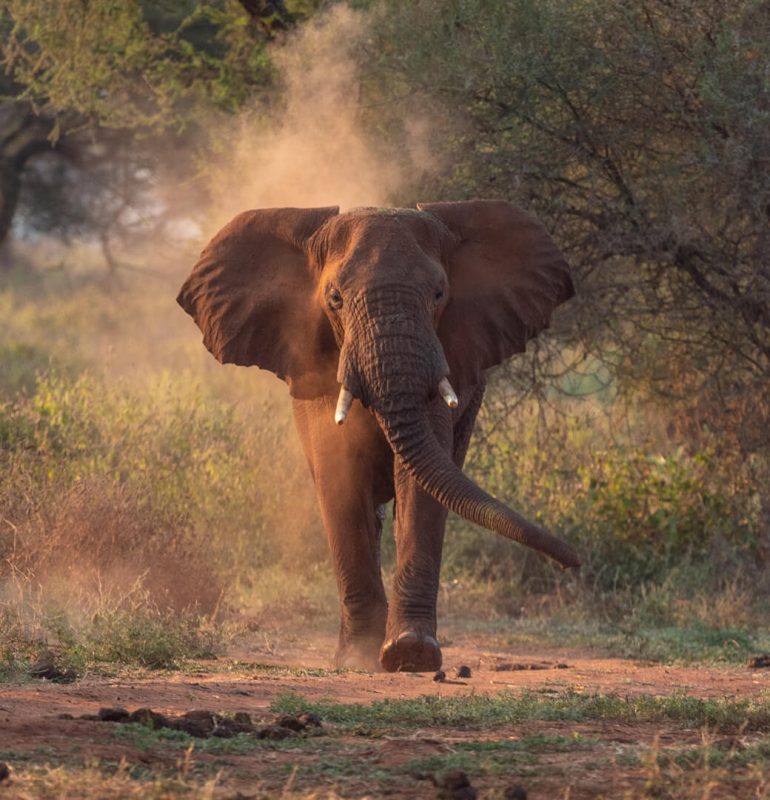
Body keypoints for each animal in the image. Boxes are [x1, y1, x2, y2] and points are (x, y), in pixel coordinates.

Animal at [177, 199, 579, 673]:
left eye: (439, 294)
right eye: (335, 298)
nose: (575, 561)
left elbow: (421, 487)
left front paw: (411, 652)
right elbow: (341, 478)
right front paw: (359, 658)